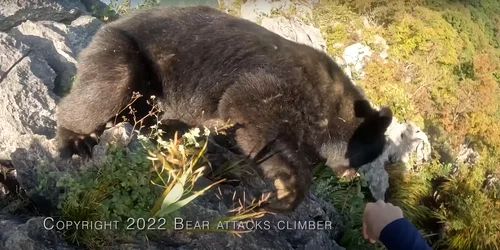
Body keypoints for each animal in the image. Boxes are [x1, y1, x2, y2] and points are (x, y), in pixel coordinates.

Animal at [53, 5, 390, 213]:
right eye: (362, 158)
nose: (349, 175)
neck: (329, 104)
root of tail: (108, 26)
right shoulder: (284, 85)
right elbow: (247, 109)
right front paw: (291, 186)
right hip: (126, 51)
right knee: (106, 86)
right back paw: (76, 138)